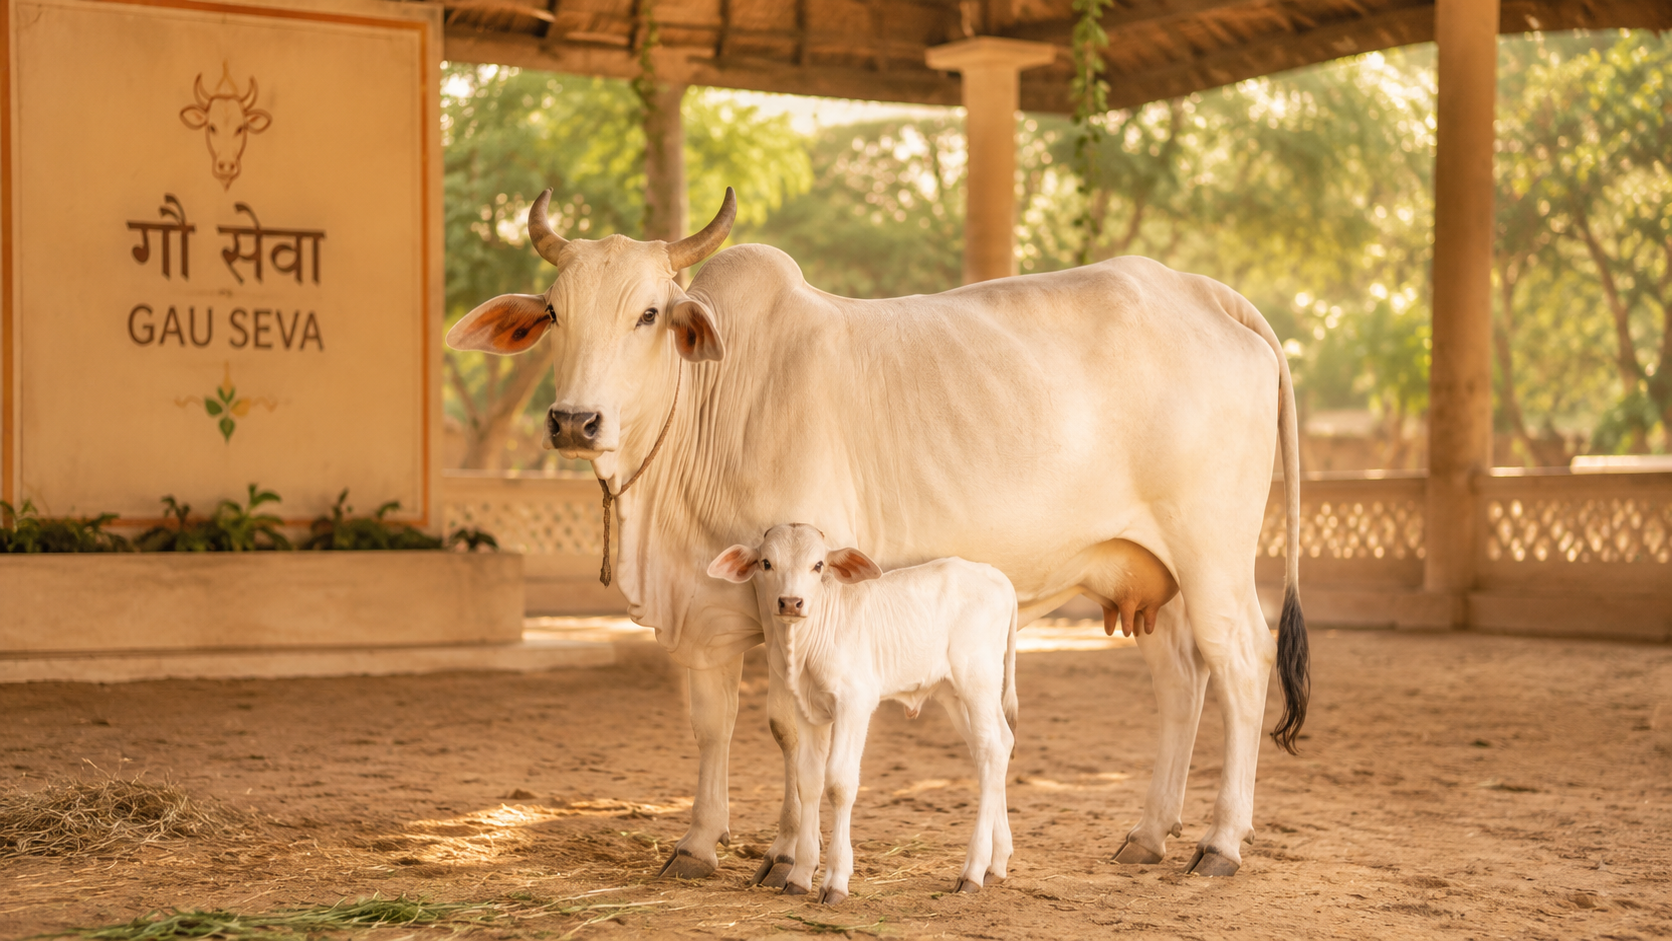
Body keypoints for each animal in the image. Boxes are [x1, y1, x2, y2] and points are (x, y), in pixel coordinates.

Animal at [707, 525, 1019, 903]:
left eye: (818, 565)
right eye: (767, 563)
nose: (791, 602)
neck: (807, 649)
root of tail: (996, 576)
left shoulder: (855, 703)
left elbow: (839, 783)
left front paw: (835, 879)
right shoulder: (807, 711)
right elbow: (808, 781)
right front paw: (799, 875)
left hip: (978, 679)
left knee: (991, 749)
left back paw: (973, 870)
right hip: (954, 694)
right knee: (995, 748)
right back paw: (995, 864)